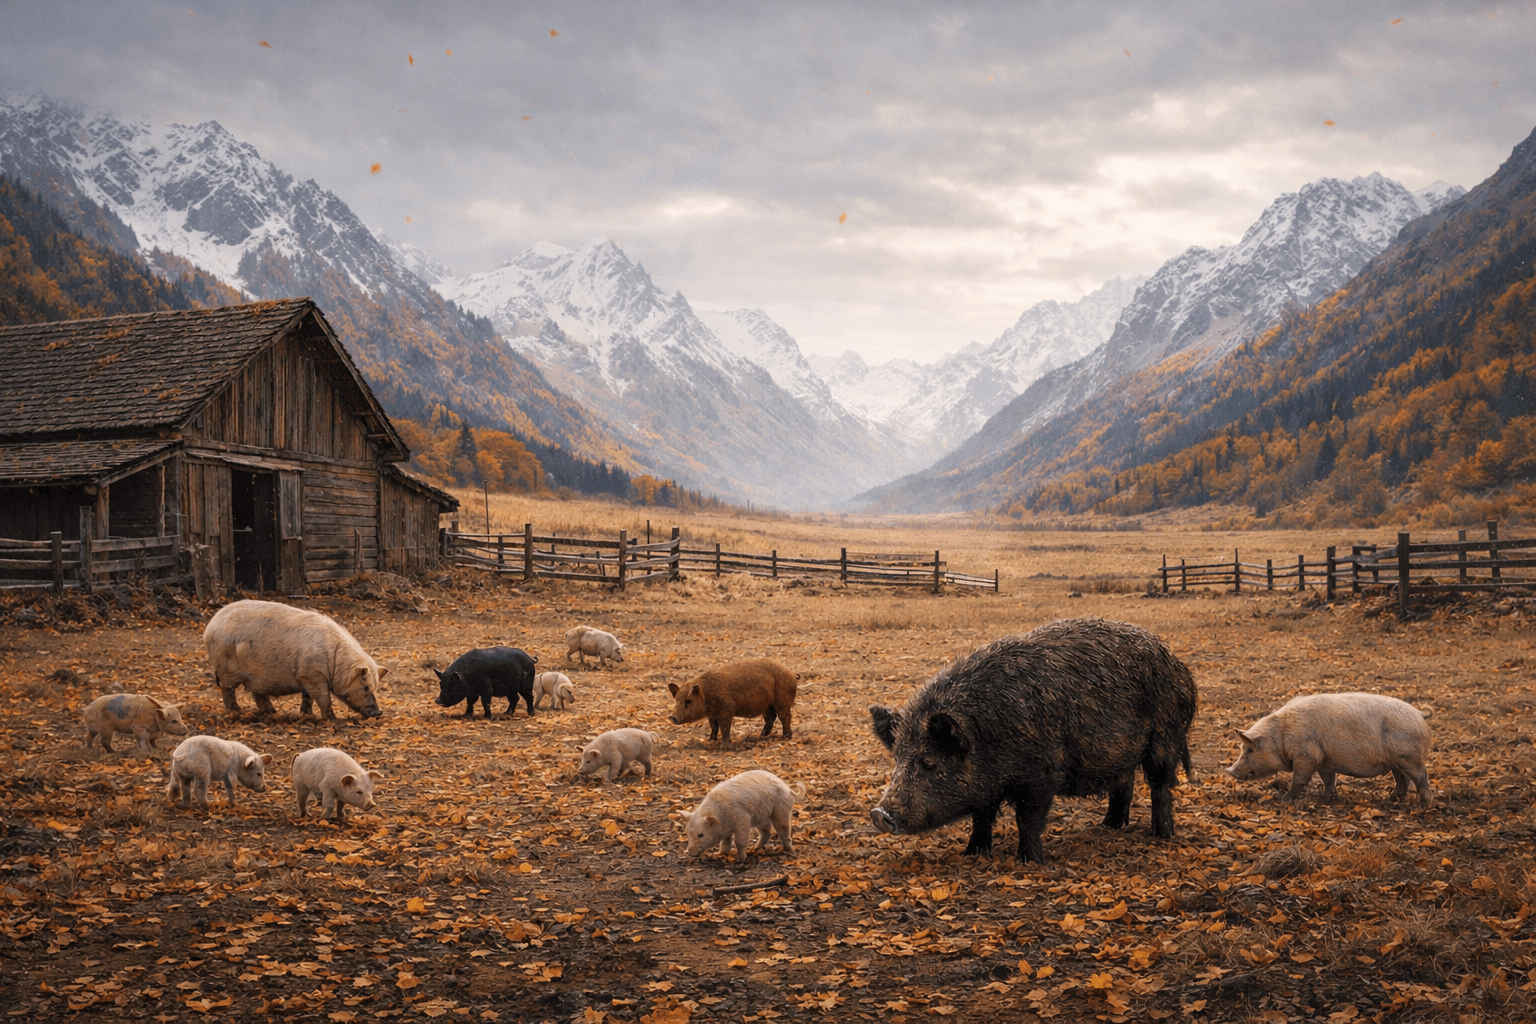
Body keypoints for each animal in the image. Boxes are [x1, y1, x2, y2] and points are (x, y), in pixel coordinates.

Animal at [204, 600, 385, 720]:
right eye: (366, 686)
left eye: (376, 687)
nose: (378, 712)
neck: (335, 664)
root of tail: (210, 627)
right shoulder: (313, 675)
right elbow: (323, 698)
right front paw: (332, 719)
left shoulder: (306, 677)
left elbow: (308, 697)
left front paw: (307, 715)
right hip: (226, 668)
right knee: (227, 690)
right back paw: (236, 712)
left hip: (254, 676)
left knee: (258, 694)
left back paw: (272, 713)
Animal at [667, 658, 798, 746]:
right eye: (676, 700)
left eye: (688, 701)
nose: (672, 717)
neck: (706, 694)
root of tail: (792, 674)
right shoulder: (712, 715)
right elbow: (713, 726)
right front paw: (710, 740)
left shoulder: (728, 708)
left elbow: (724, 727)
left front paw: (726, 744)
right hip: (766, 706)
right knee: (771, 717)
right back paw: (761, 736)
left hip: (783, 701)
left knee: (785, 716)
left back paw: (786, 736)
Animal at [869, 618, 1198, 865]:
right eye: (897, 759)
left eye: (929, 762)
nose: (879, 813)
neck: (987, 735)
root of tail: (1179, 667)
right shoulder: (985, 786)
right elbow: (980, 817)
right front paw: (972, 854)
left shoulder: (1040, 776)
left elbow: (1027, 819)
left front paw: (1028, 862)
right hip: (1119, 751)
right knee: (1124, 783)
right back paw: (1108, 827)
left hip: (1165, 735)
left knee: (1160, 785)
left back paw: (1161, 835)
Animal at [1225, 693, 1433, 807]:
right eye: (1242, 747)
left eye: (1250, 750)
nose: (1230, 771)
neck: (1280, 738)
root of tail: (1420, 714)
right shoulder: (1325, 761)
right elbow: (1328, 780)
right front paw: (1325, 799)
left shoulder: (1308, 756)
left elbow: (1299, 779)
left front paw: (1284, 800)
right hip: (1398, 761)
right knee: (1402, 779)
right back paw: (1393, 799)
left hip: (1409, 757)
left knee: (1421, 776)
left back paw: (1423, 804)